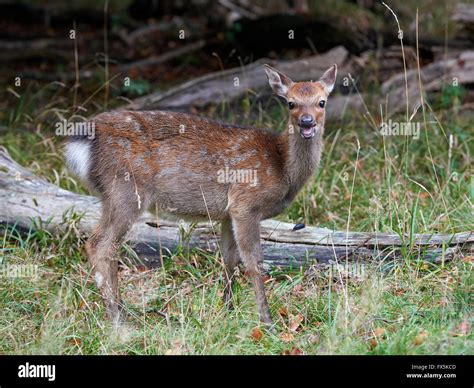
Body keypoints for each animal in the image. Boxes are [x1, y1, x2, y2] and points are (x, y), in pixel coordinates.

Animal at [65, 63, 336, 328]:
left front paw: (227, 310)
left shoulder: (228, 213)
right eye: (291, 103)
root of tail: (80, 142)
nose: (307, 122)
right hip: (126, 190)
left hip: (111, 195)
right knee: (100, 244)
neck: (282, 169)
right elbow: (254, 262)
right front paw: (266, 321)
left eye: (322, 101)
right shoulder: (245, 203)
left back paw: (121, 311)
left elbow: (229, 258)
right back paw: (116, 319)